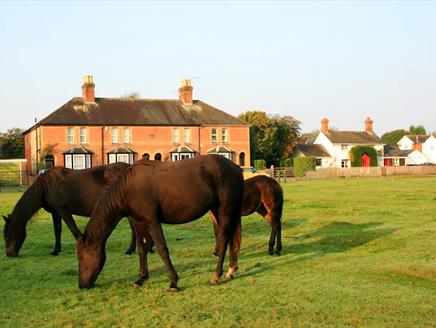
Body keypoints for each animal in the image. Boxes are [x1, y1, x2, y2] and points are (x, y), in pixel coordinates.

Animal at [2, 163, 136, 258]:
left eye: (8, 234)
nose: (9, 254)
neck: (45, 186)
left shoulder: (63, 210)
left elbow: (73, 229)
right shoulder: (55, 212)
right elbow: (57, 230)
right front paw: (55, 251)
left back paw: (130, 250)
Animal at [76, 155, 244, 290]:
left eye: (80, 256)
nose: (82, 285)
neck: (129, 189)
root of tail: (236, 168)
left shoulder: (152, 221)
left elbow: (162, 248)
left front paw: (174, 282)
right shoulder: (138, 222)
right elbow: (141, 249)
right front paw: (141, 278)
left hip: (225, 210)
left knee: (223, 238)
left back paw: (216, 276)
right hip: (219, 210)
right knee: (230, 238)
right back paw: (230, 270)